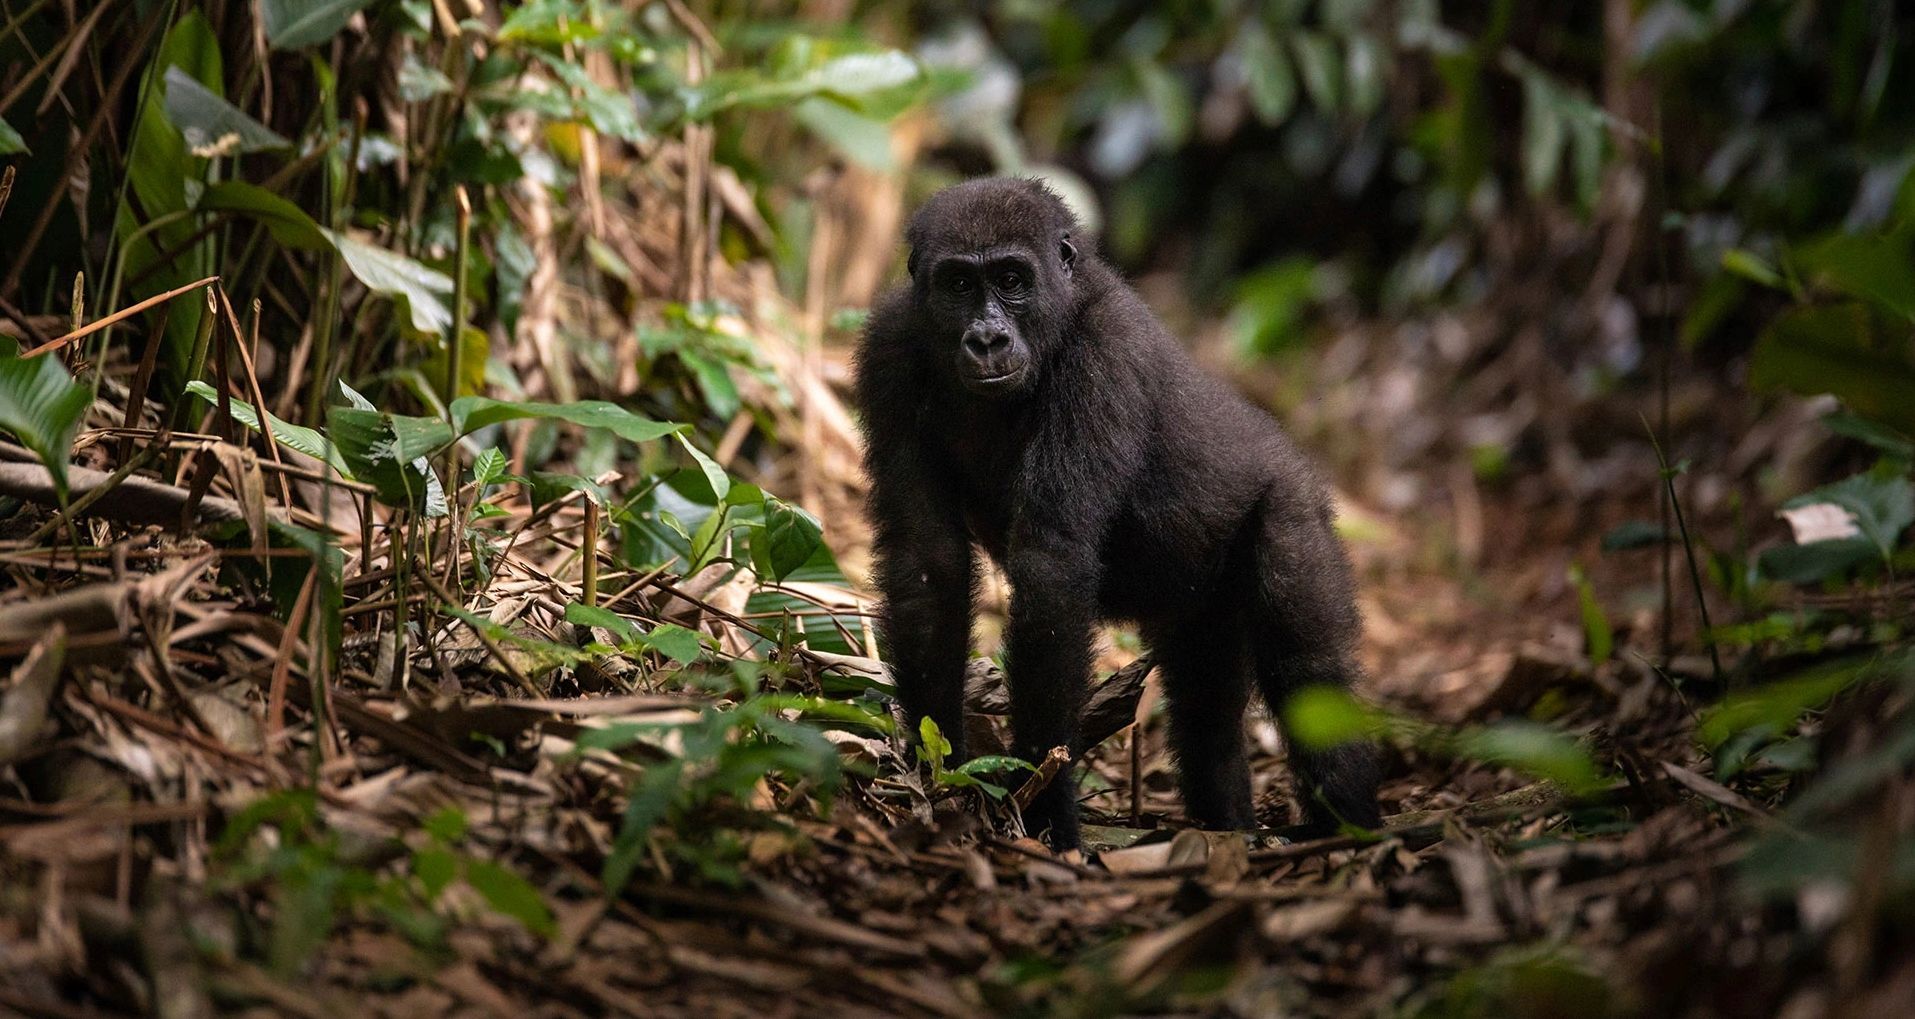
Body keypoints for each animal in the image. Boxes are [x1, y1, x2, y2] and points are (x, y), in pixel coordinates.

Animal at [853, 177, 1381, 852]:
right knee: (1206, 704)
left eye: (1012, 279)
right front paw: (938, 771)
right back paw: (1231, 823)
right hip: (1201, 600)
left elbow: (1051, 563)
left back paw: (1353, 824)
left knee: (1310, 675)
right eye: (959, 285)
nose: (988, 339)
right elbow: (928, 559)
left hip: (1294, 511)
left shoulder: (1106, 349)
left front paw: (1045, 806)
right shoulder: (889, 348)